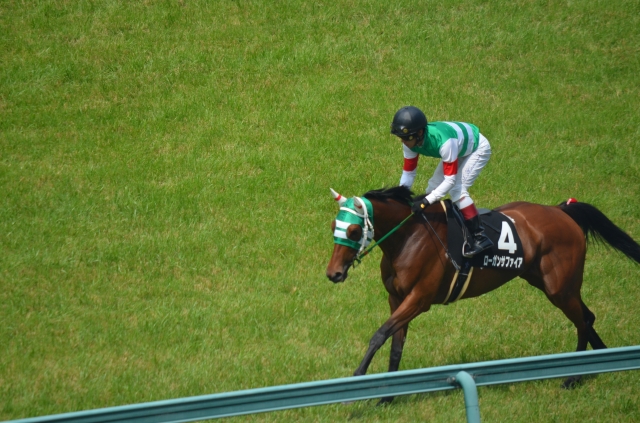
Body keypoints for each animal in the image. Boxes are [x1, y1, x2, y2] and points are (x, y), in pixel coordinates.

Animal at [325, 186, 640, 401]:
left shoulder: (418, 299)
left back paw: (573, 376)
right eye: (333, 227)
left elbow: (380, 334)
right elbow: (395, 346)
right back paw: (603, 361)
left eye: (353, 230)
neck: (408, 237)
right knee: (588, 317)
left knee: (582, 321)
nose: (333, 273)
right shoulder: (397, 298)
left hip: (559, 288)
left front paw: (355, 383)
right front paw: (387, 397)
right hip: (549, 283)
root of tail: (561, 210)